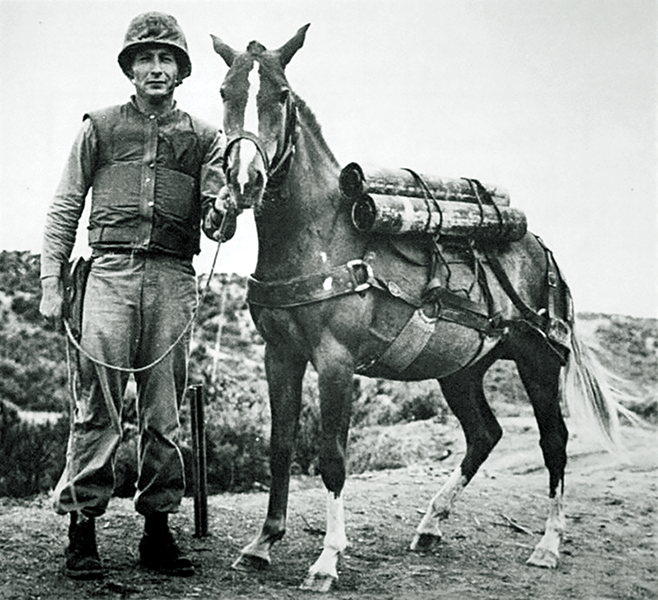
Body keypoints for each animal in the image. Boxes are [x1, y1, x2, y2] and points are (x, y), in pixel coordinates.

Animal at [210, 24, 637, 592]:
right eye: (225, 92)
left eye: (280, 95)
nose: (245, 181)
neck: (318, 236)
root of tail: (541, 250)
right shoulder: (279, 355)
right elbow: (280, 447)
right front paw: (261, 543)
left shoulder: (336, 361)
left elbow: (332, 457)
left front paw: (327, 559)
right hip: (462, 371)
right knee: (485, 434)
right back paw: (431, 524)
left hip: (538, 363)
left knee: (554, 442)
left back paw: (547, 544)